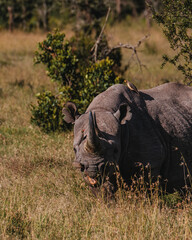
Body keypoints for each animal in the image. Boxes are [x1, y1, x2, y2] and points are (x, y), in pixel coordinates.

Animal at [63, 82, 192, 193]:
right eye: (74, 149)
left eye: (116, 150)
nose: (93, 168)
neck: (102, 109)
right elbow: (103, 191)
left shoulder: (150, 163)